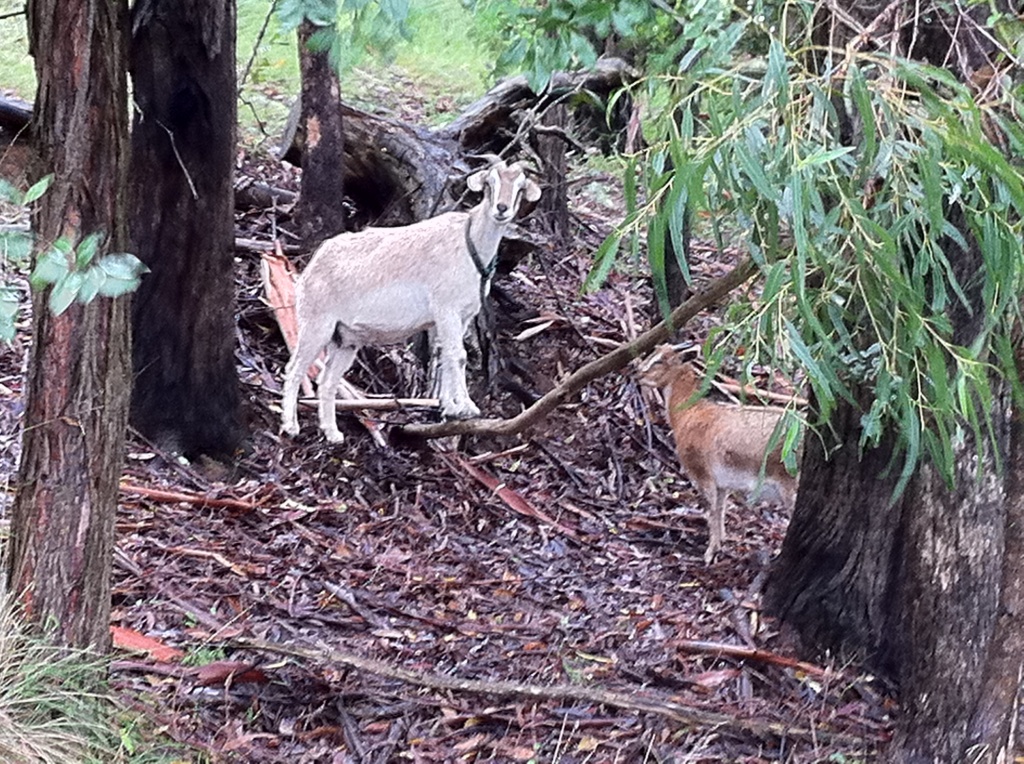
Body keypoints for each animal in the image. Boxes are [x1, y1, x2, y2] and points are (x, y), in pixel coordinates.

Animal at [276, 157, 540, 440]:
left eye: (520, 188)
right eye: (490, 183)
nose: (502, 209)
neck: (470, 245)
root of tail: (309, 269)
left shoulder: (460, 316)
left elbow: (444, 356)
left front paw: (449, 408)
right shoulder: (446, 309)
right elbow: (458, 355)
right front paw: (466, 407)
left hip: (345, 339)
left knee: (327, 381)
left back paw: (332, 433)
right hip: (316, 324)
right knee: (295, 369)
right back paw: (290, 426)